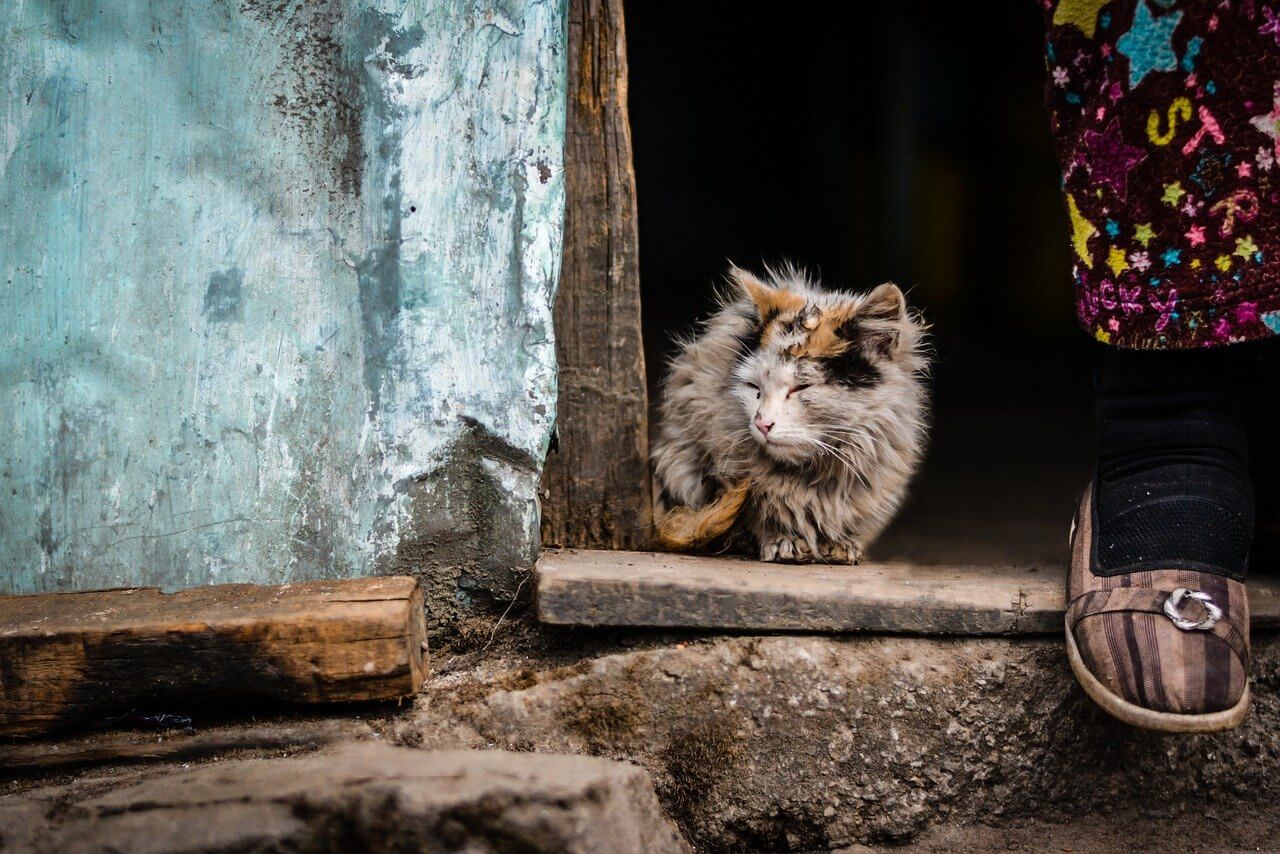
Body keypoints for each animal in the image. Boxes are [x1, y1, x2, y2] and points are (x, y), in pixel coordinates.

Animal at [655, 263, 926, 563]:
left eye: (800, 387)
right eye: (754, 387)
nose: (762, 423)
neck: (812, 475)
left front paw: (841, 545)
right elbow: (756, 514)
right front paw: (784, 542)